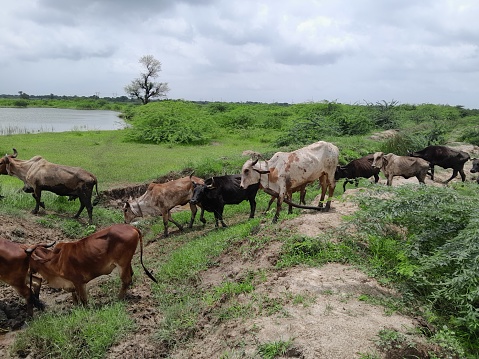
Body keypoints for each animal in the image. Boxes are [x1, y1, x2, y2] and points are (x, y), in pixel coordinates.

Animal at [25, 225, 158, 306]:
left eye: (27, 259)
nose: (28, 271)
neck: (55, 260)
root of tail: (131, 226)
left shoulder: (78, 281)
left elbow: (83, 299)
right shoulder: (71, 284)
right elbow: (75, 297)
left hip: (122, 263)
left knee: (126, 280)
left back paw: (118, 298)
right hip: (127, 263)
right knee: (130, 275)